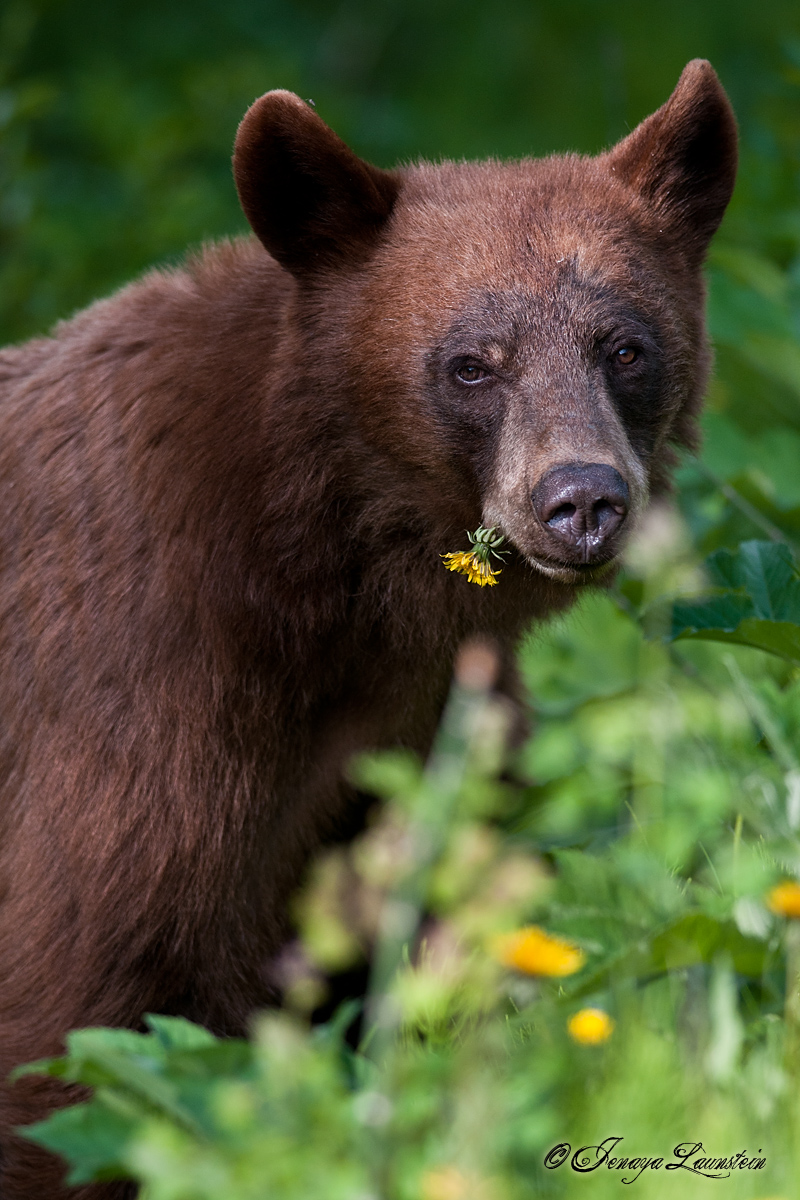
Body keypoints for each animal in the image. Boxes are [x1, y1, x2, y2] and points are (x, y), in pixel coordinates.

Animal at [0, 59, 736, 1198]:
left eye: (625, 347)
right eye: (471, 363)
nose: (581, 500)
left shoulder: (418, 739)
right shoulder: (120, 715)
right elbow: (65, 1029)